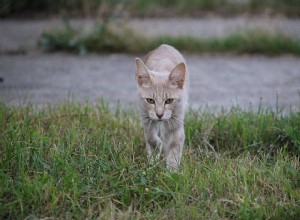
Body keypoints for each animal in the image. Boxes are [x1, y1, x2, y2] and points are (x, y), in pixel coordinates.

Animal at [135, 44, 189, 172]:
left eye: (169, 100)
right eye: (150, 100)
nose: (159, 115)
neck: (161, 68)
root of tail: (164, 45)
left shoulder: (176, 120)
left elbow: (175, 144)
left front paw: (172, 171)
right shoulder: (146, 117)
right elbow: (151, 138)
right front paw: (153, 159)